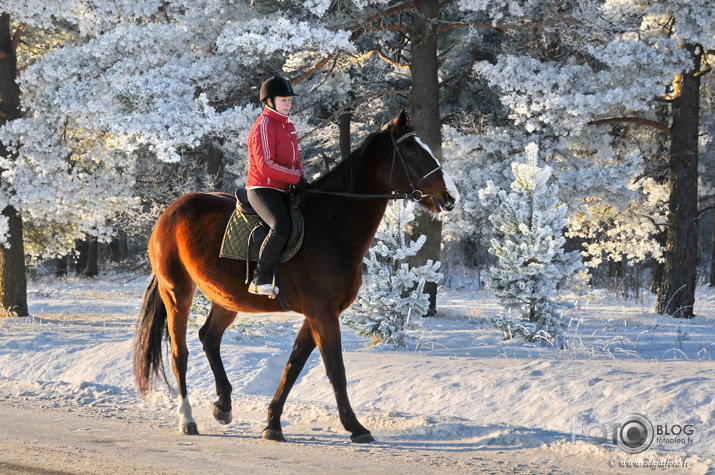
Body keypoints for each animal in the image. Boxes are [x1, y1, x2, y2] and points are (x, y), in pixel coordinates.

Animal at [133, 110, 458, 442]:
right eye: (412, 151)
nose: (450, 196)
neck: (330, 228)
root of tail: (170, 211)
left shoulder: (318, 314)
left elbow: (294, 365)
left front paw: (273, 423)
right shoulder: (323, 314)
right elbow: (335, 370)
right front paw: (355, 427)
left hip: (225, 298)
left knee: (209, 338)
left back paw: (223, 406)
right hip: (177, 292)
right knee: (179, 353)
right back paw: (187, 418)